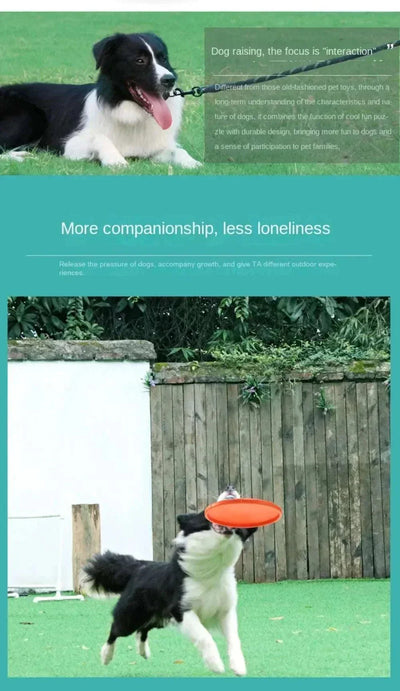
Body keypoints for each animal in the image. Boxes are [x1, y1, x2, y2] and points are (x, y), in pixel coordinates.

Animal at [0, 31, 200, 170]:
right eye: (140, 60)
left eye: (163, 58)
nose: (169, 80)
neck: (130, 112)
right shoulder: (70, 145)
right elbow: (100, 138)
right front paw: (115, 160)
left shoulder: (154, 148)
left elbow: (177, 149)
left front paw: (192, 162)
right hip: (30, 115)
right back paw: (18, 156)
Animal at [81, 486, 256, 676]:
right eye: (208, 508)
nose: (230, 487)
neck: (214, 563)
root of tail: (139, 567)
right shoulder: (180, 609)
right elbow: (205, 636)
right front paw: (215, 665)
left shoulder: (225, 609)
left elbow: (234, 638)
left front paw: (239, 666)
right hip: (132, 614)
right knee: (116, 629)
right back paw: (106, 656)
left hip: (158, 618)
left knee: (143, 630)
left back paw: (144, 652)